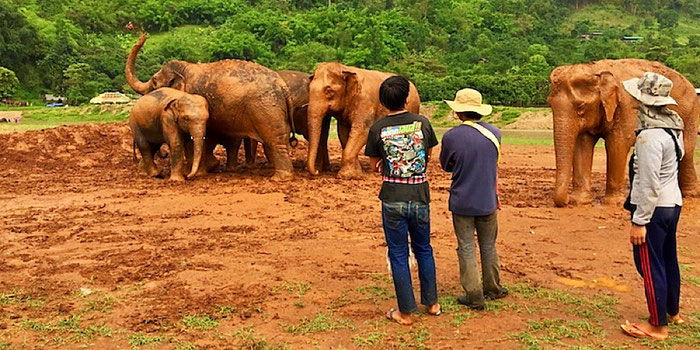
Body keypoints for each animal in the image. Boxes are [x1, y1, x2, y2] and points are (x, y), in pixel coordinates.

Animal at [126, 32, 296, 180]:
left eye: (154, 82)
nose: (144, 35)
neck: (186, 68)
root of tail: (282, 86)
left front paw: (197, 171)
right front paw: (208, 167)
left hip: (266, 109)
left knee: (275, 140)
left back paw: (279, 178)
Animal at [548, 58, 696, 206]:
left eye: (581, 107)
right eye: (549, 104)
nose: (566, 201)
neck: (596, 70)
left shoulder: (626, 107)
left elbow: (617, 145)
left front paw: (612, 203)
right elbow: (583, 146)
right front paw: (580, 201)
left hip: (689, 114)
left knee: (686, 151)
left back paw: (689, 195)